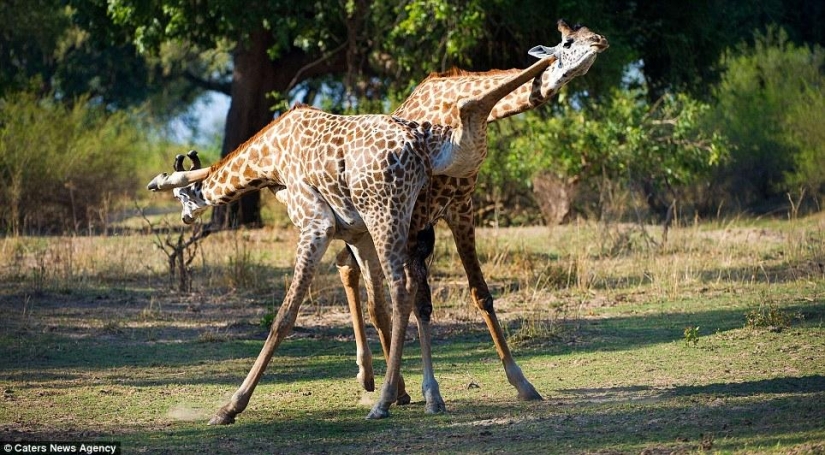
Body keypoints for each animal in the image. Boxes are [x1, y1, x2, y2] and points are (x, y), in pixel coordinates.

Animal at [146, 53, 561, 424]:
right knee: (398, 290)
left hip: (387, 216)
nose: (184, 217)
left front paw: (230, 406)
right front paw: (403, 389)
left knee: (402, 289)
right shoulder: (358, 234)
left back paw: (385, 400)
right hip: (391, 224)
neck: (269, 155)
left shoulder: (315, 225)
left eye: (179, 197)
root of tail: (420, 148)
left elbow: (285, 316)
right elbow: (375, 304)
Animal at [338, 20, 608, 412]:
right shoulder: (418, 217)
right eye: (568, 42)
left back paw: (385, 382)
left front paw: (522, 382)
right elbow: (419, 301)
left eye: (590, 33)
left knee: (351, 271)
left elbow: (480, 293)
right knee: (373, 296)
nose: (600, 41)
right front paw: (431, 393)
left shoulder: (460, 207)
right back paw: (384, 384)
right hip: (375, 225)